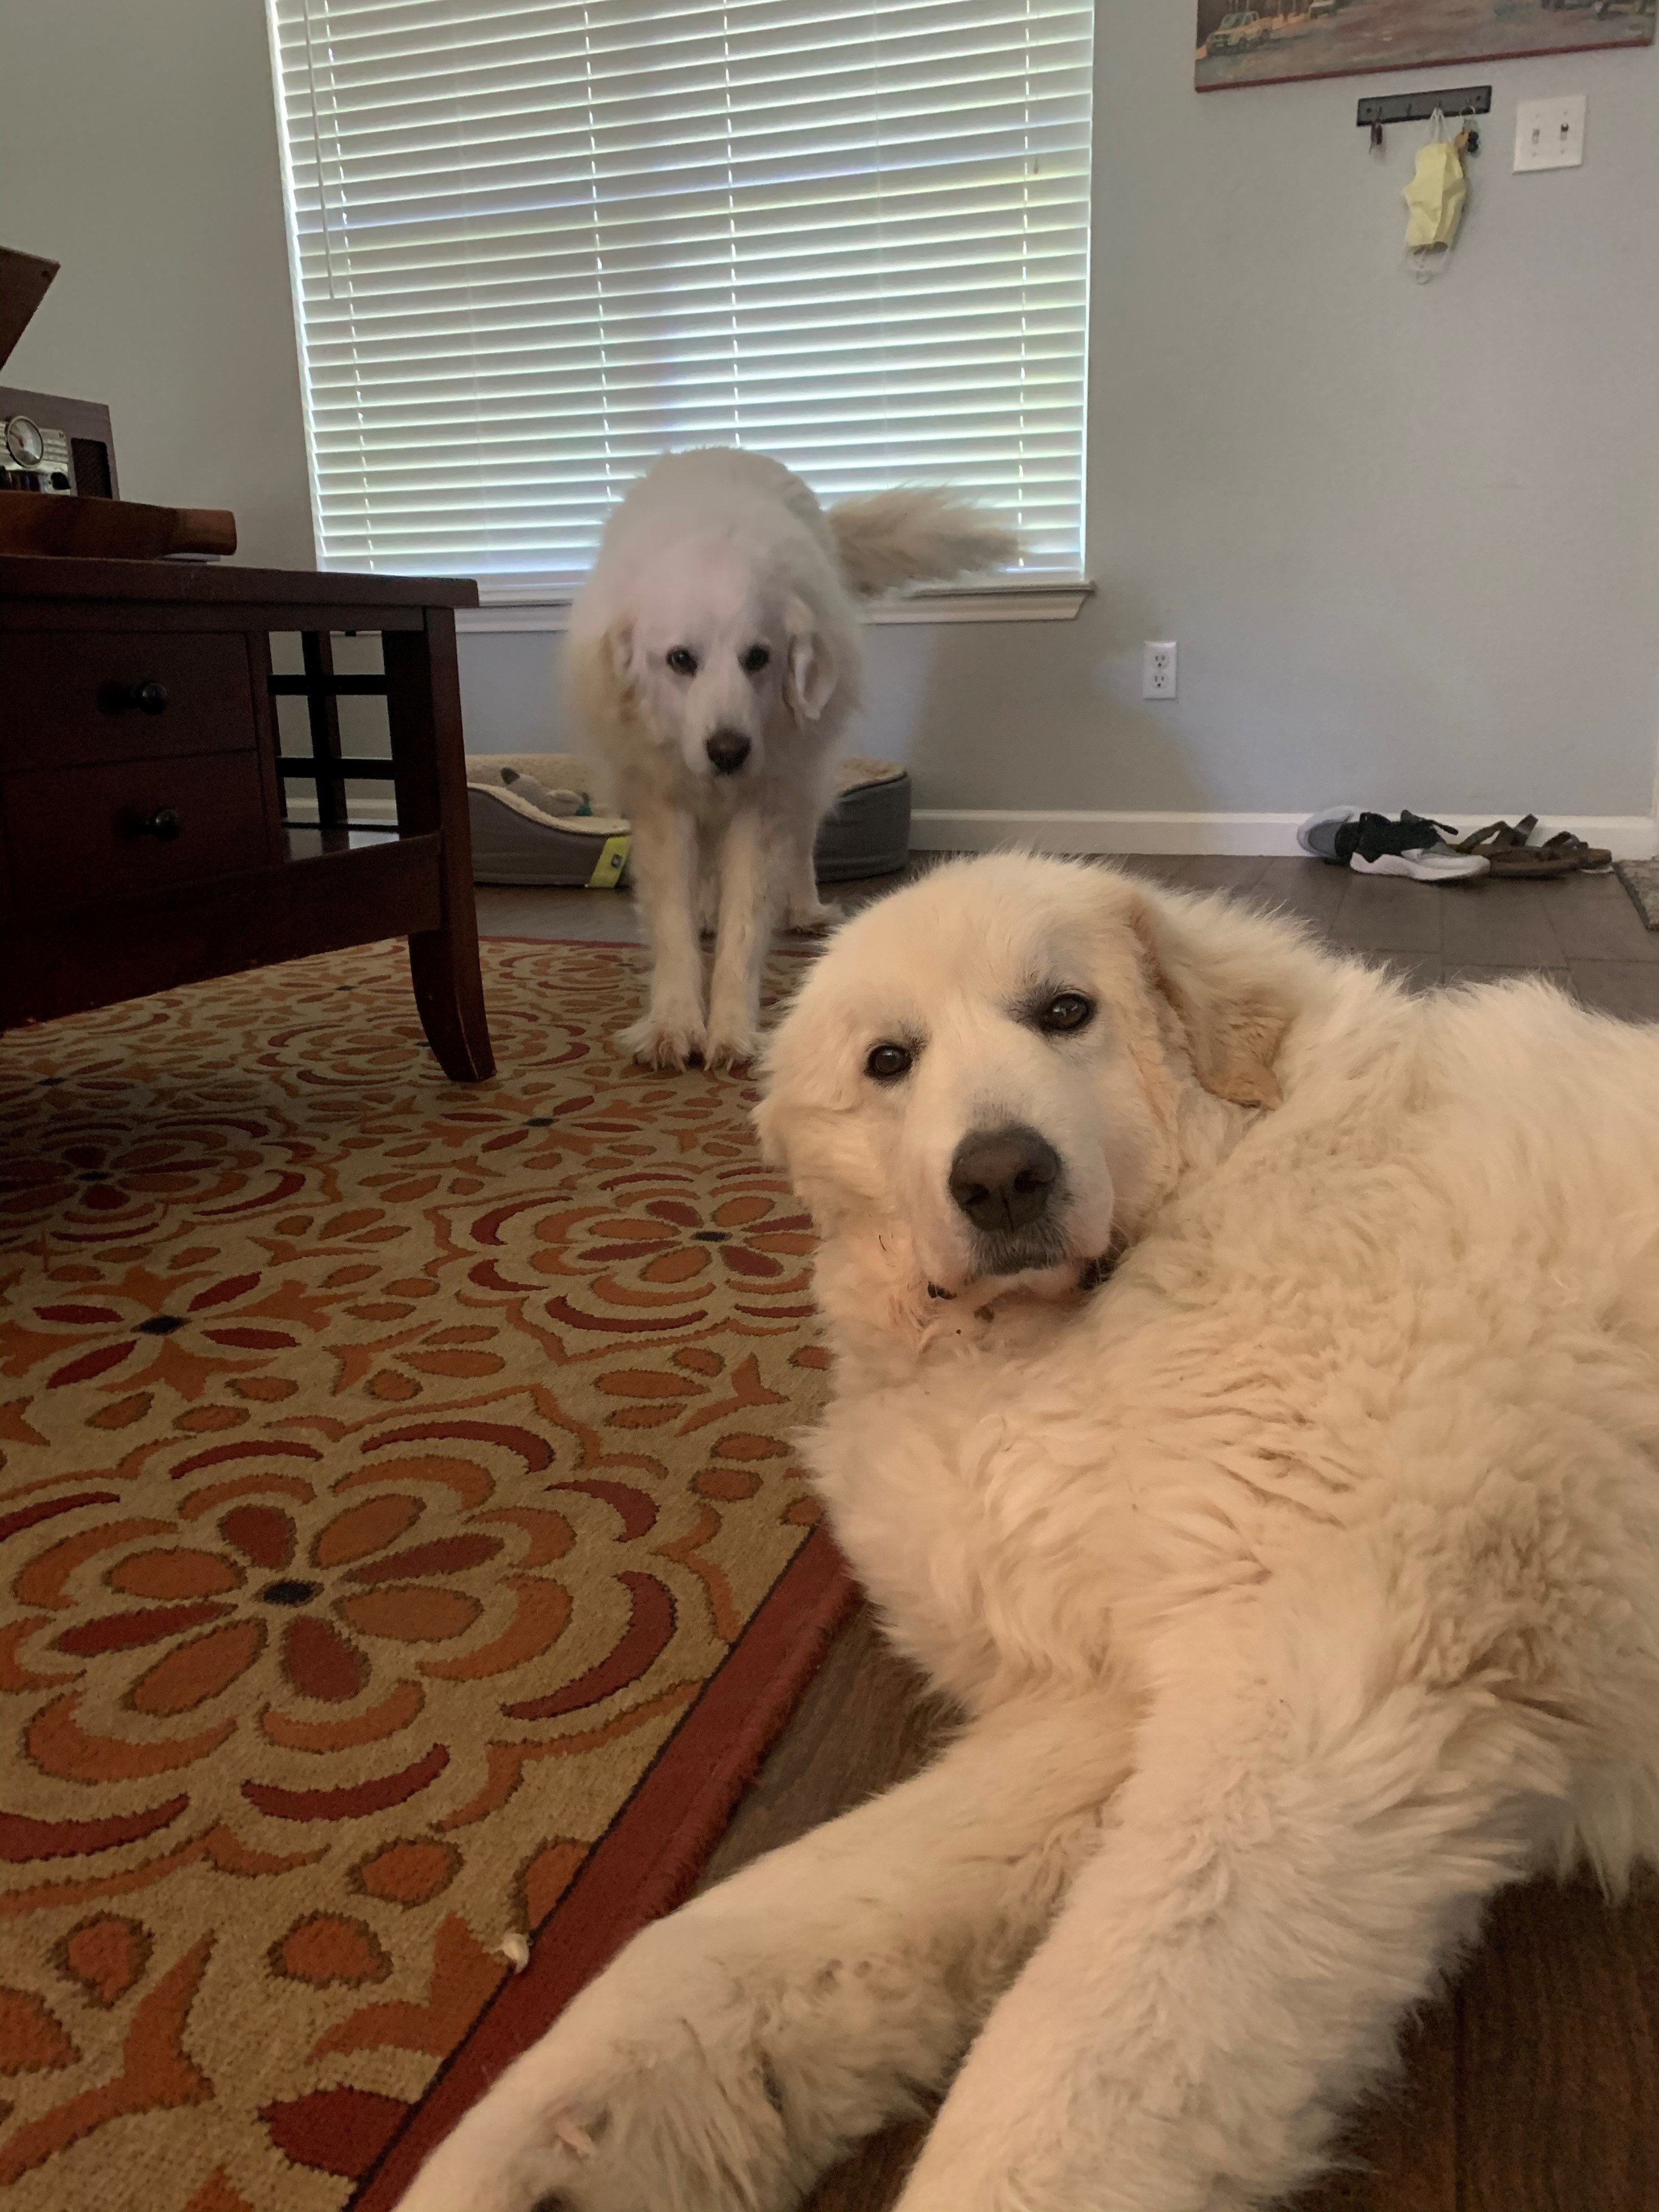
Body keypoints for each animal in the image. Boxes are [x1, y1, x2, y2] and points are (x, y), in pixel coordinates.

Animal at [394, 854, 1659, 2212]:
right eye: (890, 1061)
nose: (1003, 1176)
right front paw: (544, 2153)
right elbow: (718, 1947)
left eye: (1065, 1011)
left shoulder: (1321, 1719)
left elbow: (1067, 2076)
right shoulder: (1105, 1698)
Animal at [564, 448, 1016, 1072]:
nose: (729, 752)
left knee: (800, 848)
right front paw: (674, 1025)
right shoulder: (664, 805)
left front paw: (731, 1033)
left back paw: (804, 908)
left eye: (758, 658)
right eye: (680, 660)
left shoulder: (762, 805)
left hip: (806, 779)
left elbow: (745, 928)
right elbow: (674, 929)